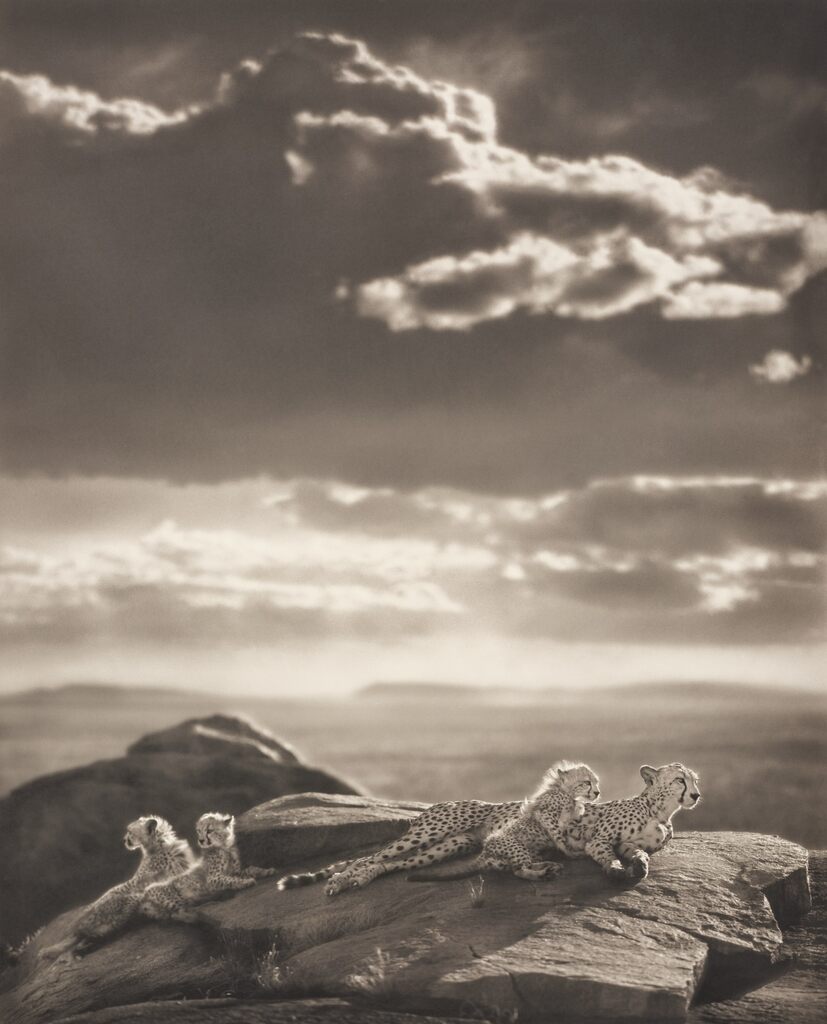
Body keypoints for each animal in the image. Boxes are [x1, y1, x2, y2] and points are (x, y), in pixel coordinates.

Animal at [39, 815, 195, 961]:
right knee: (88, 939)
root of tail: (79, 926)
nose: (124, 840)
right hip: (125, 908)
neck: (160, 844)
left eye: (130, 832)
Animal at [277, 761, 600, 896]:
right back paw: (339, 881)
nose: (597, 792)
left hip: (451, 845)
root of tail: (435, 805)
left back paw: (361, 879)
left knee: (389, 864)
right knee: (369, 857)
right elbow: (563, 837)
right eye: (587, 782)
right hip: (428, 833)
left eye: (596, 782)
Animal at [559, 762, 701, 882]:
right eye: (680, 780)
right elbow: (608, 854)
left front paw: (640, 864)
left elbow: (639, 851)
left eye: (695, 781)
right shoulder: (599, 839)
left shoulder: (627, 843)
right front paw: (616, 868)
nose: (696, 795)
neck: (660, 812)